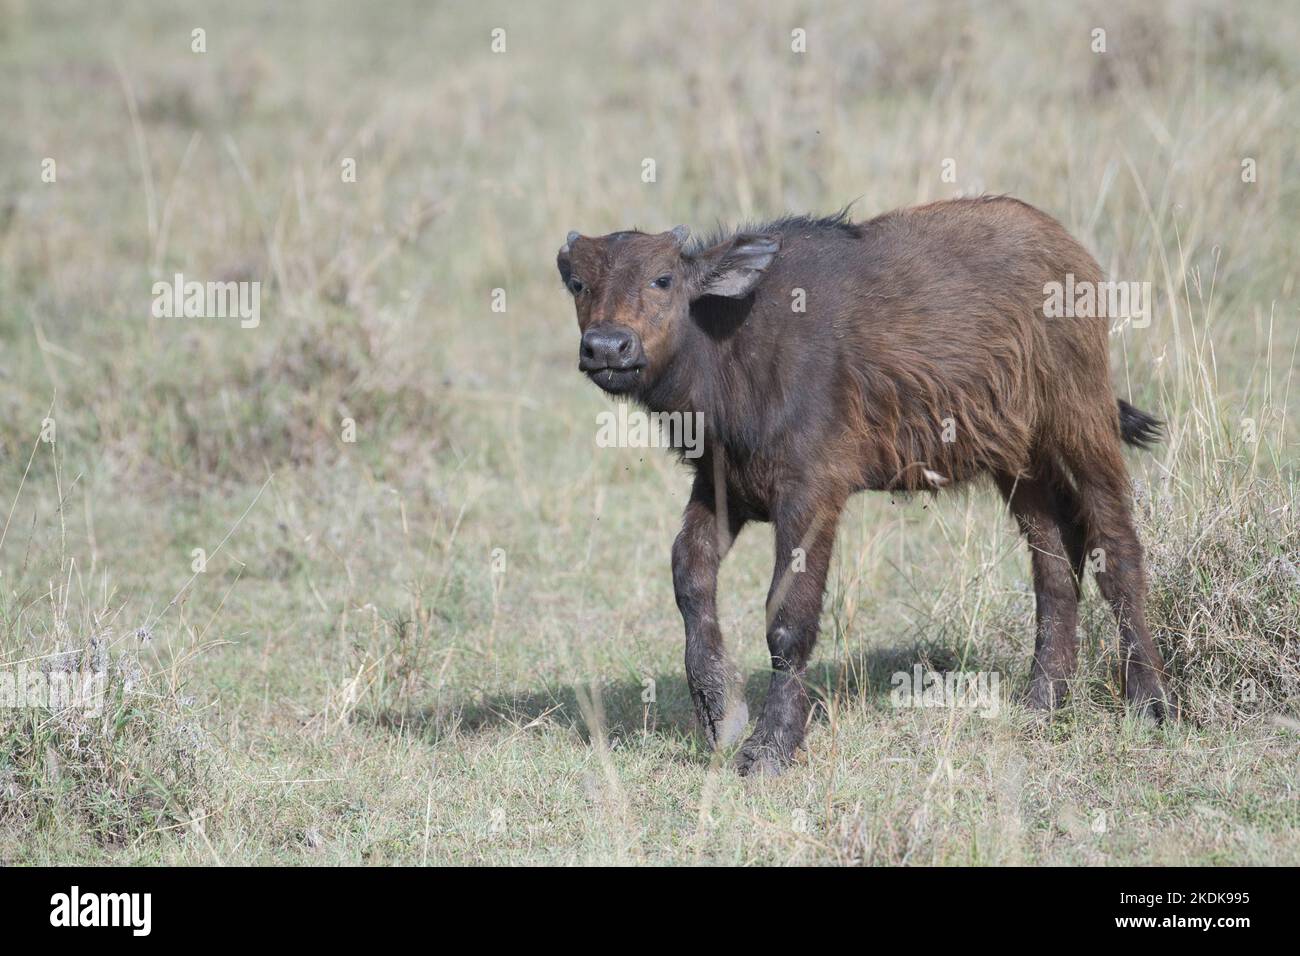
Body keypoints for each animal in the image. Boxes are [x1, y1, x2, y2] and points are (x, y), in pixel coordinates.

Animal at [553, 196, 1175, 780]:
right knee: (1054, 565)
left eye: (662, 279)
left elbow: (788, 620)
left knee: (1116, 548)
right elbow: (688, 573)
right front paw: (719, 713)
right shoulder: (721, 486)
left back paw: (1151, 702)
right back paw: (1043, 700)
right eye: (578, 283)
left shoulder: (811, 495)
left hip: (1081, 423)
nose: (607, 347)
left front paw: (770, 747)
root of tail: (1072, 253)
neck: (734, 337)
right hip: (1017, 462)